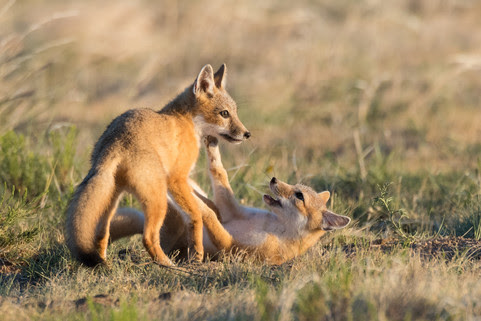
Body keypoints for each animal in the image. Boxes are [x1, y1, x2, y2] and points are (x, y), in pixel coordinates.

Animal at [65, 63, 249, 266]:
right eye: (224, 114)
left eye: (235, 113)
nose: (247, 134)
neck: (186, 121)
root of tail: (116, 143)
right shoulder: (177, 179)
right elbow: (196, 215)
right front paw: (197, 254)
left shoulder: (179, 181)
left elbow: (204, 206)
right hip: (158, 201)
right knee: (148, 237)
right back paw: (168, 265)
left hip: (112, 201)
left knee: (102, 235)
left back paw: (105, 264)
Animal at [110, 136, 350, 264]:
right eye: (295, 187)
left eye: (299, 195)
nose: (273, 179)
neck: (271, 226)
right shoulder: (231, 211)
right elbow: (219, 174)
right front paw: (211, 148)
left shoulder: (230, 247)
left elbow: (208, 214)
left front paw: (197, 206)